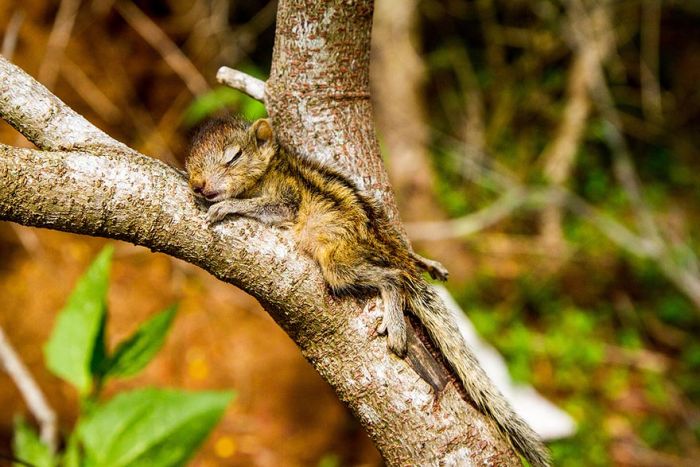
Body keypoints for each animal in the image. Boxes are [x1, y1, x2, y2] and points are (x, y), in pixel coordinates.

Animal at [186, 116, 552, 467]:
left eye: (233, 157)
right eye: (190, 163)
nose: (198, 185)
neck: (272, 168)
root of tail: (391, 252)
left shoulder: (286, 199)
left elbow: (264, 206)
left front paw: (228, 206)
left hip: (339, 263)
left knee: (393, 279)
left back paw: (397, 321)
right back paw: (425, 263)